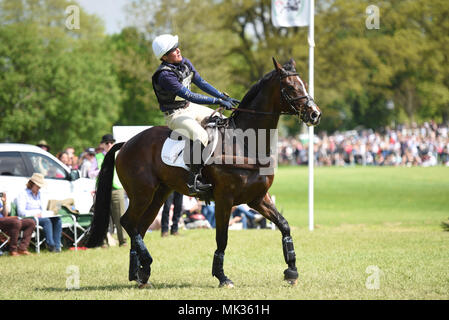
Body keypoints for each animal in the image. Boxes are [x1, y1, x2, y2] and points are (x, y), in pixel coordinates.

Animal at [86, 57, 320, 288]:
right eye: (290, 87)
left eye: (304, 84)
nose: (315, 114)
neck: (244, 142)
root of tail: (126, 143)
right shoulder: (225, 199)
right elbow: (222, 239)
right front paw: (222, 277)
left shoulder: (257, 198)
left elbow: (284, 225)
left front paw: (292, 270)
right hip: (141, 194)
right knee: (127, 222)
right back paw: (145, 266)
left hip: (157, 196)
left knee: (139, 227)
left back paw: (140, 273)